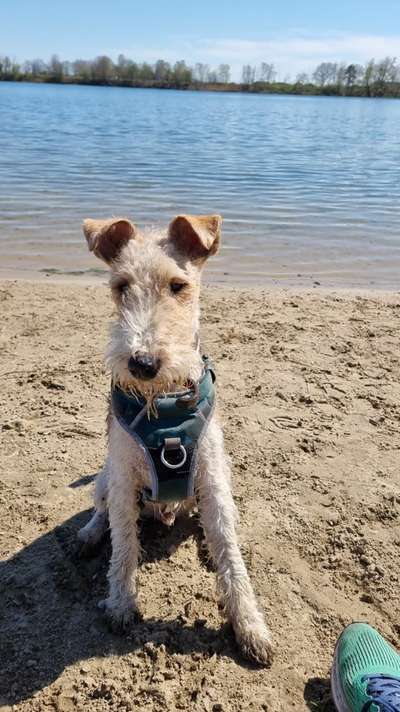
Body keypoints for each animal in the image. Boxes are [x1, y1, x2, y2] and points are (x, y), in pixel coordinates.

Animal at [76, 214, 274, 664]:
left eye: (179, 285)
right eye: (121, 286)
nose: (143, 362)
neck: (163, 409)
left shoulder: (213, 479)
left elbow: (231, 555)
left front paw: (250, 627)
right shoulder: (123, 477)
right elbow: (124, 546)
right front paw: (120, 605)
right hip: (105, 477)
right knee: (102, 511)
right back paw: (90, 535)